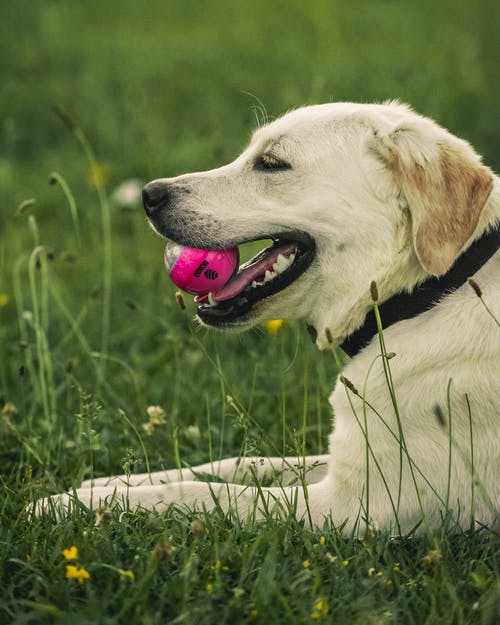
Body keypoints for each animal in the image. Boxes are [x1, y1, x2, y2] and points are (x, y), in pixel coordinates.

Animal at [37, 101, 498, 532]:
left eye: (272, 163)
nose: (148, 195)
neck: (428, 294)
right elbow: (236, 465)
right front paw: (107, 484)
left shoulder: (358, 506)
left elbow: (208, 494)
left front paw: (69, 505)